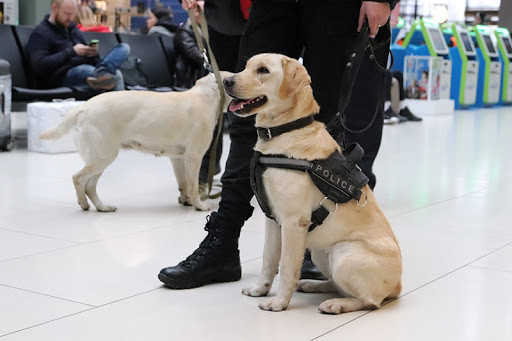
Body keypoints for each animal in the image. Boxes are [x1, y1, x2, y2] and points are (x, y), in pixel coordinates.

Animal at [40, 73, 232, 211]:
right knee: (78, 178)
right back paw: (83, 203)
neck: (207, 94)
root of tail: (83, 107)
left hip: (100, 158)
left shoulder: (178, 158)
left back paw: (103, 207)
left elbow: (183, 184)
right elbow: (192, 186)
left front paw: (186, 201)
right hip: (103, 157)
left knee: (90, 186)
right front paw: (199, 205)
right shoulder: (194, 156)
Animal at [225, 55, 404, 314]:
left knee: (368, 301)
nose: (226, 81)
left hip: (344, 255)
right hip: (321, 253)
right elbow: (268, 261)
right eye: (246, 66)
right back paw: (312, 285)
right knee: (337, 284)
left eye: (263, 70)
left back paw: (336, 304)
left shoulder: (293, 223)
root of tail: (398, 286)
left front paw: (279, 302)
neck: (284, 130)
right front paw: (260, 289)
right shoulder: (273, 221)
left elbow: (286, 267)